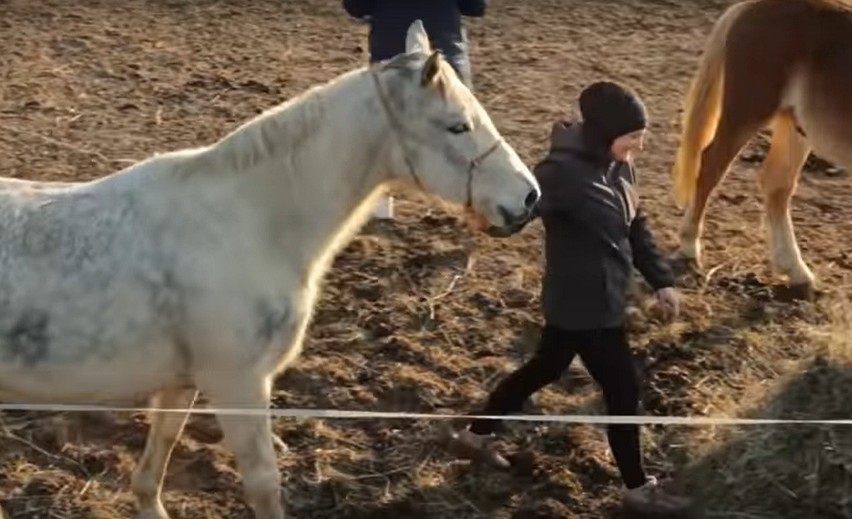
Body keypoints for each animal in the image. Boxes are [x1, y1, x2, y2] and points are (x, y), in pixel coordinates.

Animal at [0, 20, 540, 519]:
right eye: (457, 126)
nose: (528, 198)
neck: (249, 222)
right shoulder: (238, 383)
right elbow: (263, 484)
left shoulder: (185, 382)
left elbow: (158, 457)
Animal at [672, 0, 852, 298]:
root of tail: (750, 5)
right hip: (747, 111)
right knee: (711, 166)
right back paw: (689, 247)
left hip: (793, 126)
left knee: (777, 186)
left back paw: (796, 272)